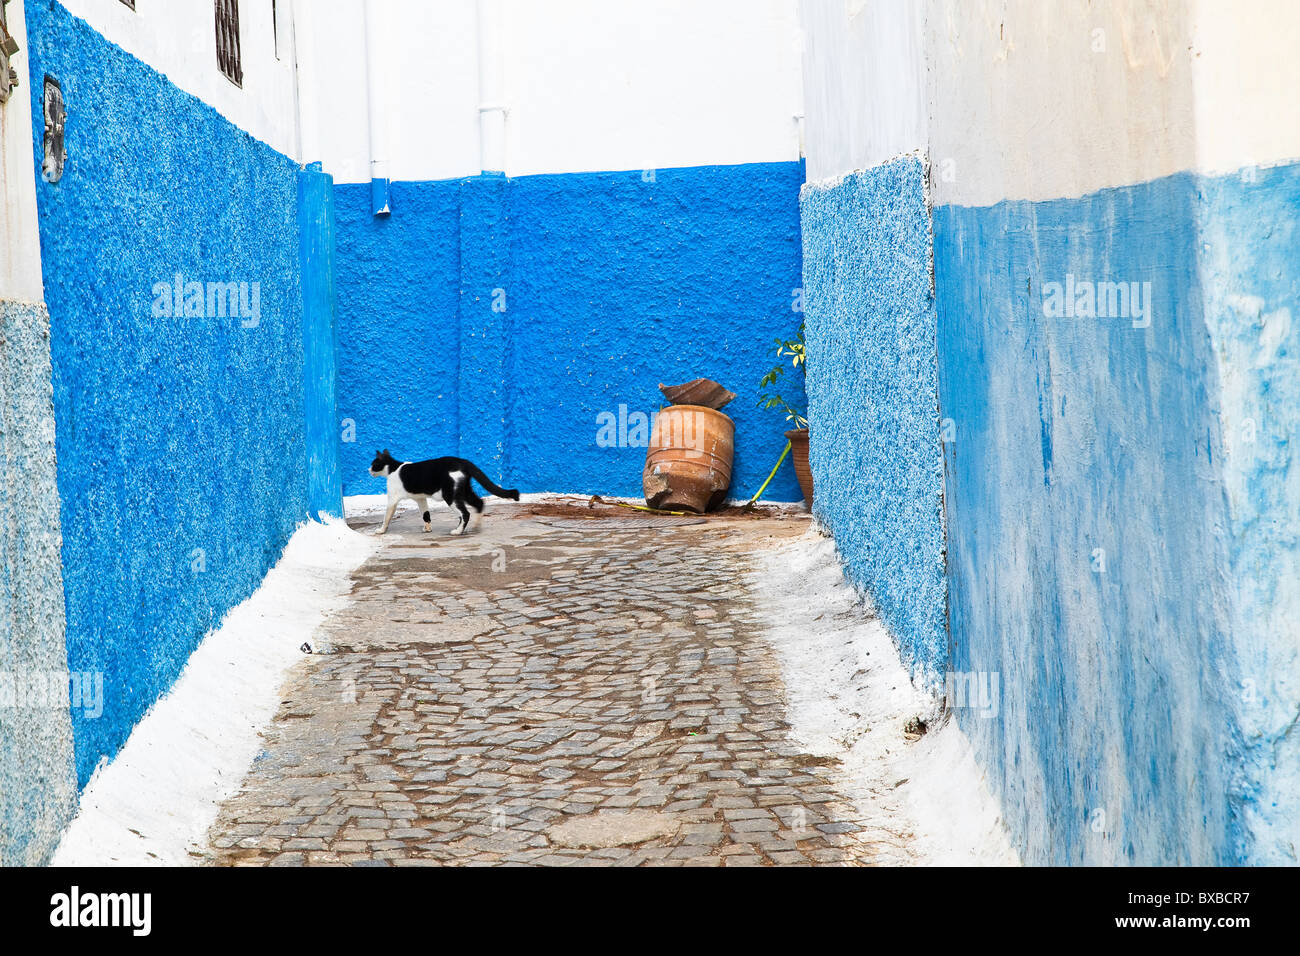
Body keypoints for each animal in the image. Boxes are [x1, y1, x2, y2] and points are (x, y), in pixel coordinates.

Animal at [366, 450, 517, 538]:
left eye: (373, 464)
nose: (368, 470)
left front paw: (381, 530)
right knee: (479, 503)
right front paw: (427, 529)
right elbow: (425, 514)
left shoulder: (392, 499)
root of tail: (462, 461)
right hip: (464, 490)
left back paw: (458, 531)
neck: (393, 467)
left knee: (465, 513)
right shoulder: (421, 498)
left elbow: (387, 517)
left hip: (450, 495)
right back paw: (476, 527)